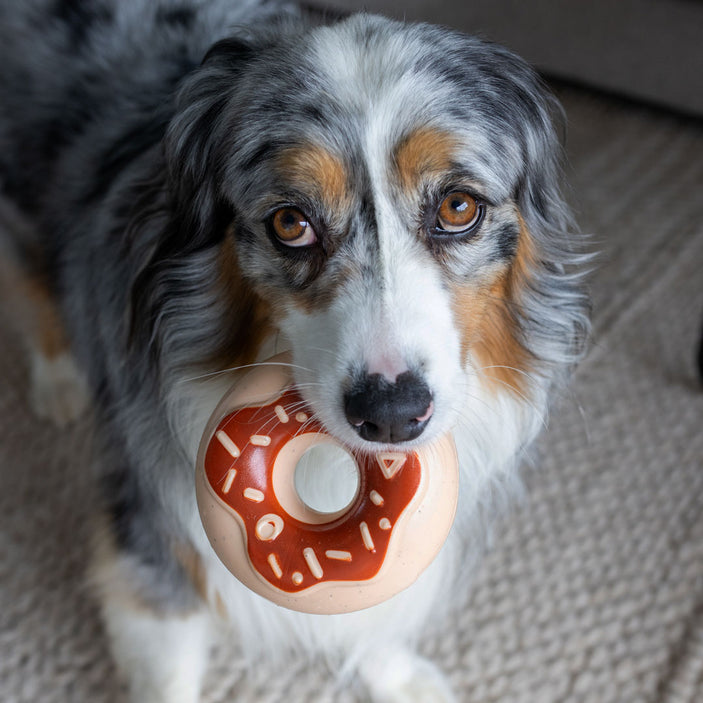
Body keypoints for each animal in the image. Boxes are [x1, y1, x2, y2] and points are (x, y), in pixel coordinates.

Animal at [0, 2, 592, 700]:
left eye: (457, 206)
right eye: (290, 222)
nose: (390, 415)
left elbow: (375, 607)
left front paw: (399, 675)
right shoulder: (153, 535)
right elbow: (169, 660)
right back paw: (59, 381)